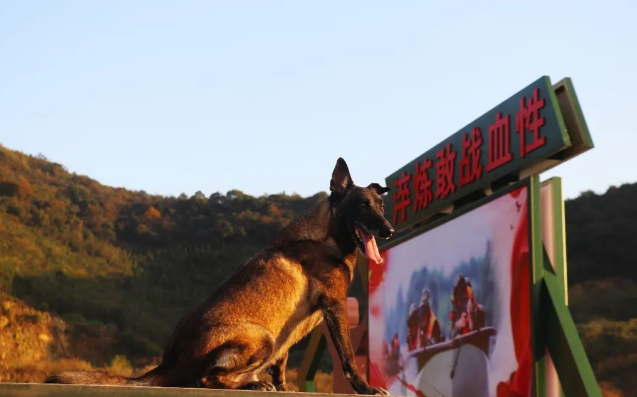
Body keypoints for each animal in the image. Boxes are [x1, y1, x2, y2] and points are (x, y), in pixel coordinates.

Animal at [46, 158, 392, 392]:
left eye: (381, 206)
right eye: (362, 205)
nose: (388, 230)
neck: (327, 236)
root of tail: (168, 362)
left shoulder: (291, 328)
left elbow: (281, 365)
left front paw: (283, 389)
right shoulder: (334, 307)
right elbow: (348, 358)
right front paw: (365, 388)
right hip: (261, 336)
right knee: (204, 379)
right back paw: (250, 385)